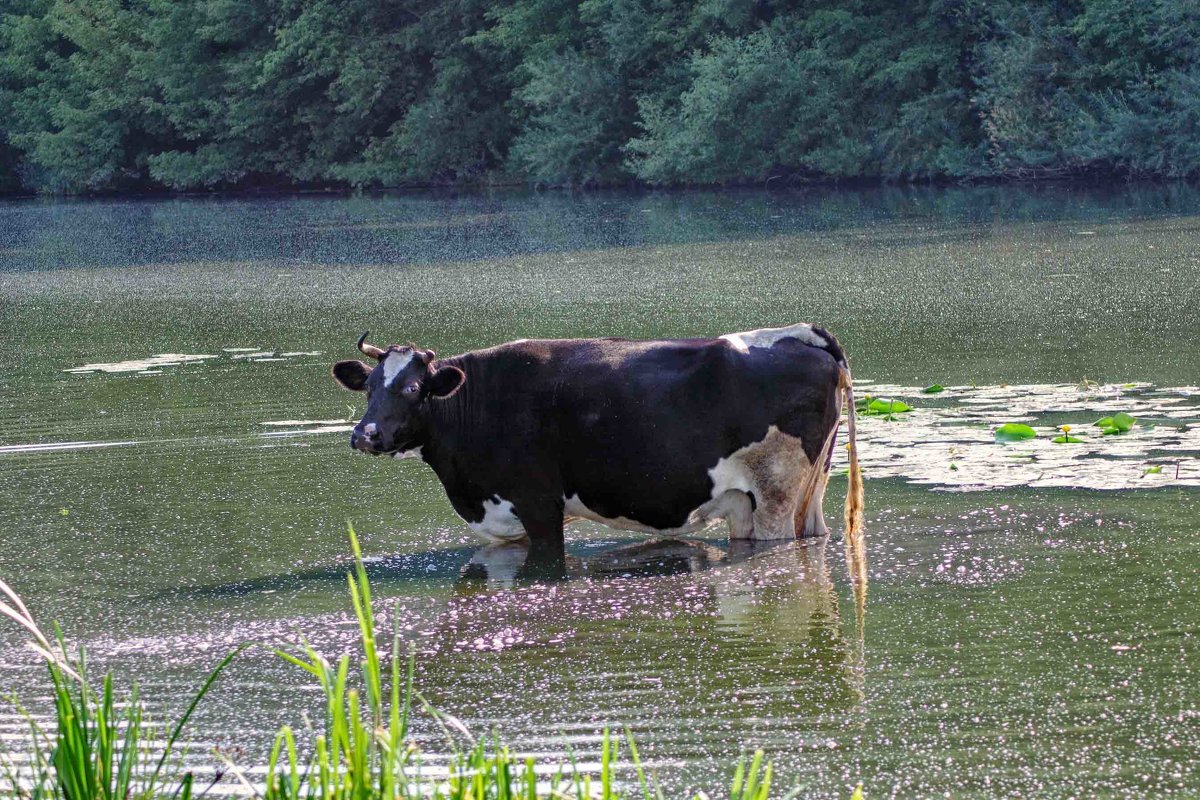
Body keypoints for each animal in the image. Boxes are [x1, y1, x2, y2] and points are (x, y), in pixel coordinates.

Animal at [331, 326, 864, 551]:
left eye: (412, 388)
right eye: (369, 388)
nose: (365, 434)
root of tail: (802, 332)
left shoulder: (538, 503)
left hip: (776, 495)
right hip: (805, 493)